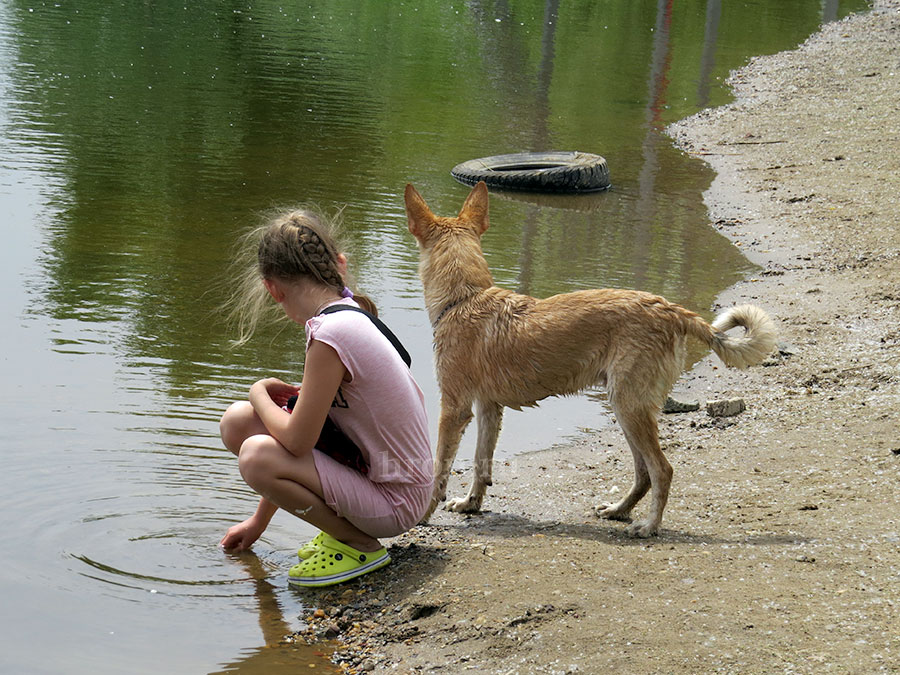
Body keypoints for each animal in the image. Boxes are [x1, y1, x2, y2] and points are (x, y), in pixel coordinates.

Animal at [404, 181, 776, 540]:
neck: (464, 299)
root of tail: (670, 309)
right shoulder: (488, 409)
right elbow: (482, 463)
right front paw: (471, 503)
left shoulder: (454, 410)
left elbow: (439, 469)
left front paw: (422, 515)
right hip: (627, 409)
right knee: (643, 473)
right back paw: (619, 510)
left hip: (628, 406)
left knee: (662, 470)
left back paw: (649, 526)